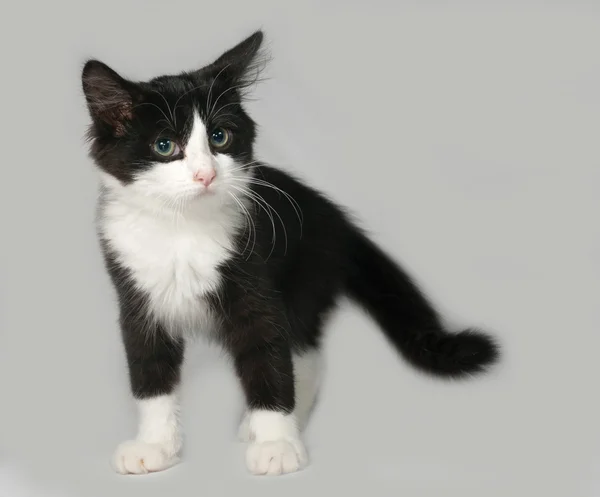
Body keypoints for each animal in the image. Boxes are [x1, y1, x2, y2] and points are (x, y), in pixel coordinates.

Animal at [82, 29, 500, 474]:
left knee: (305, 355)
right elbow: (149, 375)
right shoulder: (135, 296)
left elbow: (269, 361)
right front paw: (155, 445)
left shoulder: (256, 285)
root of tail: (334, 218)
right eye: (164, 146)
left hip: (304, 280)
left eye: (219, 137)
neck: (182, 229)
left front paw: (275, 444)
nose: (206, 174)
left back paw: (275, 424)